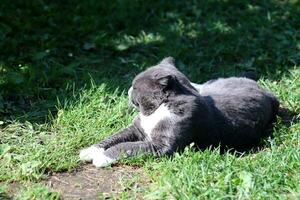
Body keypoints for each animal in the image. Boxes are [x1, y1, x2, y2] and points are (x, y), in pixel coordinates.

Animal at [79, 56, 278, 167]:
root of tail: (267, 93)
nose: (128, 90)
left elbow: (126, 146)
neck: (156, 111)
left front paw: (102, 158)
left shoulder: (162, 146)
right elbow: (114, 137)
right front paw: (90, 151)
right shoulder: (136, 128)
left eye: (135, 87)